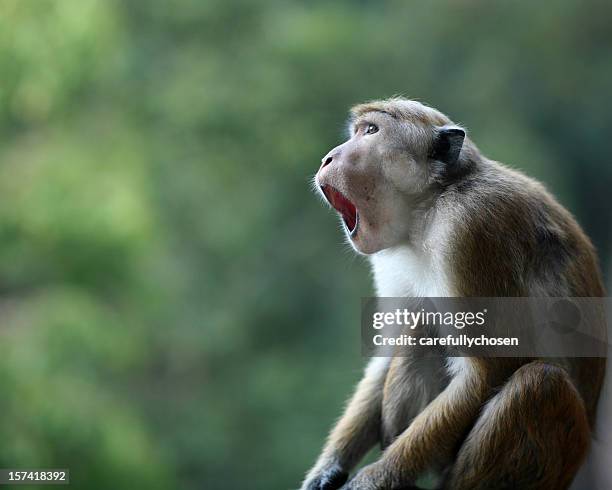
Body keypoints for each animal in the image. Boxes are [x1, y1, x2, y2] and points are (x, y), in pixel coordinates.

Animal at [298, 98, 604, 490]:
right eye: (357, 131)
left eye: (370, 131)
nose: (328, 158)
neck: (427, 210)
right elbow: (386, 351)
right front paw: (327, 470)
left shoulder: (470, 228)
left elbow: (485, 371)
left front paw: (374, 478)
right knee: (419, 325)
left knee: (540, 384)